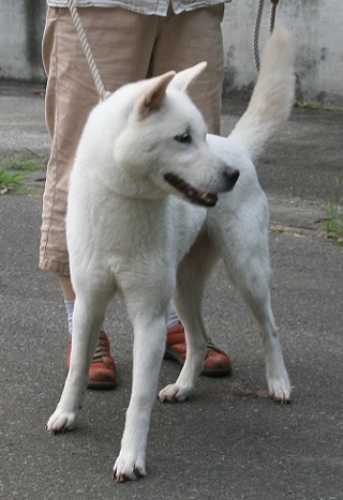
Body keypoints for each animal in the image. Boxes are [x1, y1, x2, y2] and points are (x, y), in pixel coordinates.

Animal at [47, 28, 296, 480]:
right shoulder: (89, 302)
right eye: (182, 138)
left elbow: (139, 400)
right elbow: (76, 371)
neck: (124, 201)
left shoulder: (149, 316)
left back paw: (279, 383)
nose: (231, 176)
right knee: (196, 340)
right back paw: (183, 386)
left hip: (246, 271)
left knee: (269, 328)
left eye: (200, 135)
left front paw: (131, 457)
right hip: (182, 286)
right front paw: (67, 414)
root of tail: (235, 147)